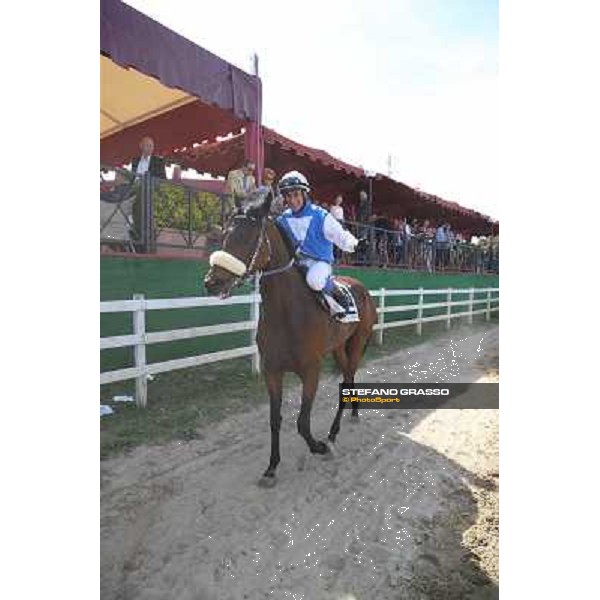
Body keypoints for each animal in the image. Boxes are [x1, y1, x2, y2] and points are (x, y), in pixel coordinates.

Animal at [204, 193, 378, 488]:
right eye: (225, 233)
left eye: (249, 236)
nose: (212, 282)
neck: (287, 313)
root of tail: (361, 288)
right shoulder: (271, 370)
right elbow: (275, 419)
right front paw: (272, 467)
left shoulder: (311, 370)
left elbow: (302, 422)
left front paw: (319, 447)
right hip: (339, 348)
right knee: (349, 376)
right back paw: (350, 415)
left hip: (357, 342)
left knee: (347, 379)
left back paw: (333, 432)